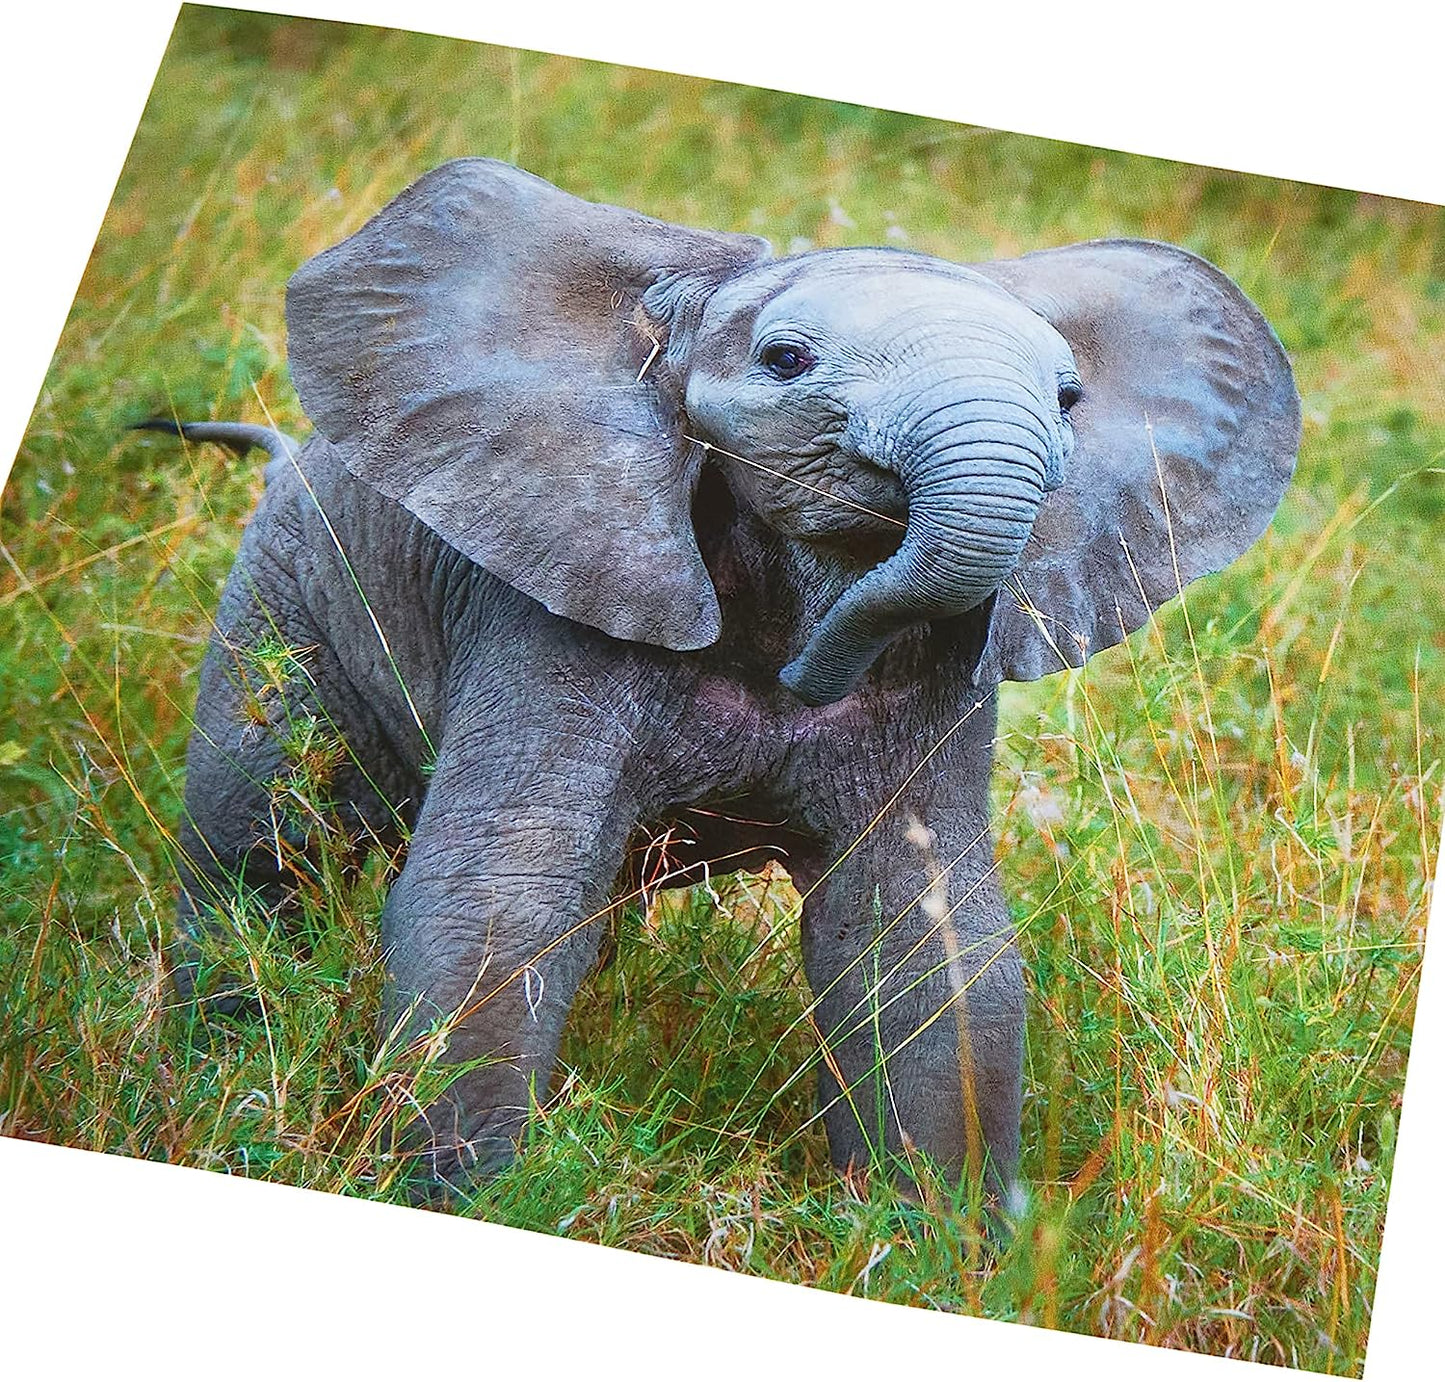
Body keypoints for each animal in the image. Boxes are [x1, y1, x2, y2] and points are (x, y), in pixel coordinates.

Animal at [146, 158, 1299, 1208]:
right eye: (785, 360)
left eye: (1067, 398)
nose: (806, 677)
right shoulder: (556, 590)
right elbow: (503, 894)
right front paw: (455, 1195)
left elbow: (921, 947)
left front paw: (946, 1253)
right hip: (286, 596)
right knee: (260, 843)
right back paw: (218, 1061)